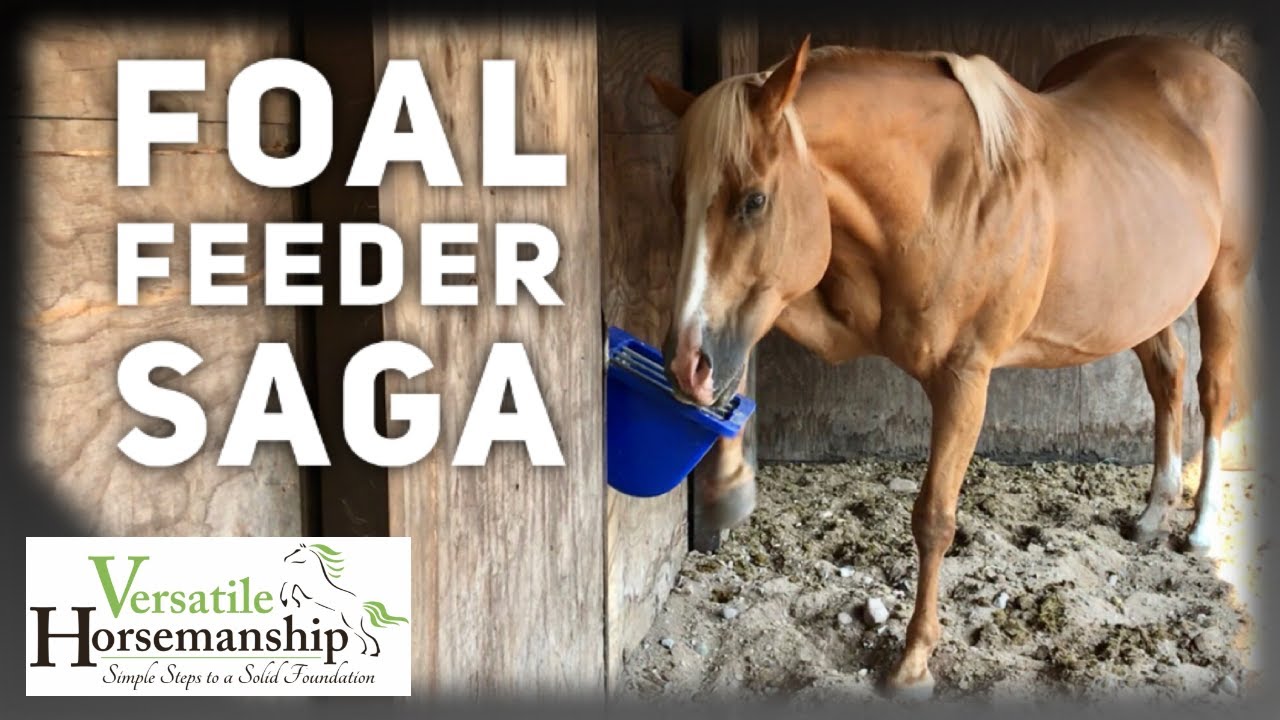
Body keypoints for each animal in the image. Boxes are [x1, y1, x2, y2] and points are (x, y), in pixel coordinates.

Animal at [279, 543, 408, 657]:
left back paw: (372, 653)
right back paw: (367, 652)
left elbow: (289, 584)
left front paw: (286, 600)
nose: (285, 558)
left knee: (367, 636)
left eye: (297, 551)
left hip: (351, 622)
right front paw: (293, 601)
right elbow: (290, 585)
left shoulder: (305, 588)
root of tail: (361, 606)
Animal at [645, 33, 1260, 696]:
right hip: (1141, 300)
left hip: (1222, 282)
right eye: (678, 199)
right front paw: (730, 482)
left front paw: (913, 661)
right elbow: (755, 332)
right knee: (1167, 375)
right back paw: (1152, 513)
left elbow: (934, 519)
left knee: (1213, 387)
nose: (684, 364)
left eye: (754, 200)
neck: (949, 192)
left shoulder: (965, 378)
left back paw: (1201, 528)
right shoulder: (840, 319)